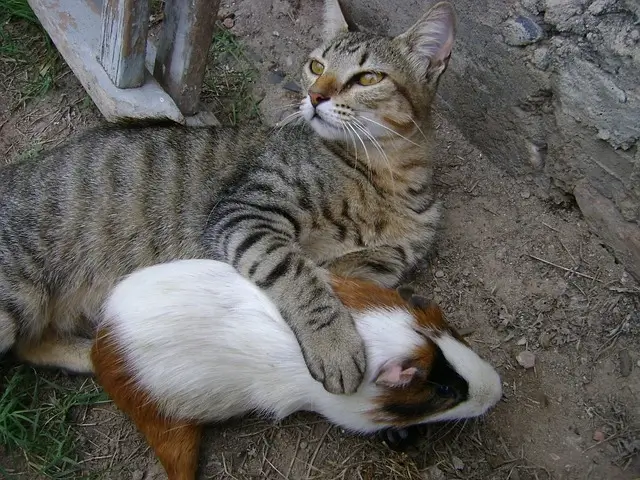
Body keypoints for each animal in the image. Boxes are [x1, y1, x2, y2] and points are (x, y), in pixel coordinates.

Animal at [0, 0, 456, 394]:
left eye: (368, 78)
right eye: (316, 67)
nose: (314, 96)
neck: (386, 176)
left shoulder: (394, 254)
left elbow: (354, 272)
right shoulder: (245, 212)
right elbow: (298, 275)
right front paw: (334, 343)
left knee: (31, 345)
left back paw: (109, 358)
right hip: (13, 296)